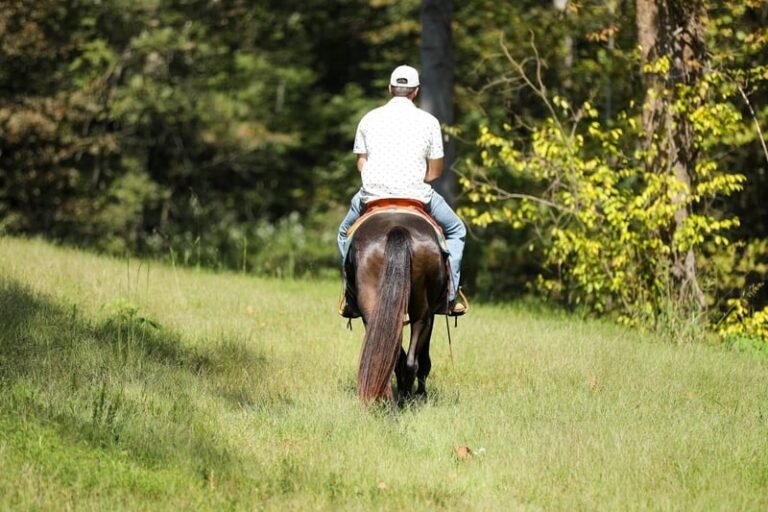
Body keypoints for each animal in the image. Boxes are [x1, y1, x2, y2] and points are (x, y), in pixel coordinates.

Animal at [345, 210, 449, 405]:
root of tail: (397, 228)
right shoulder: (432, 315)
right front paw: (421, 393)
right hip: (422, 312)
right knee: (412, 358)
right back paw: (407, 397)